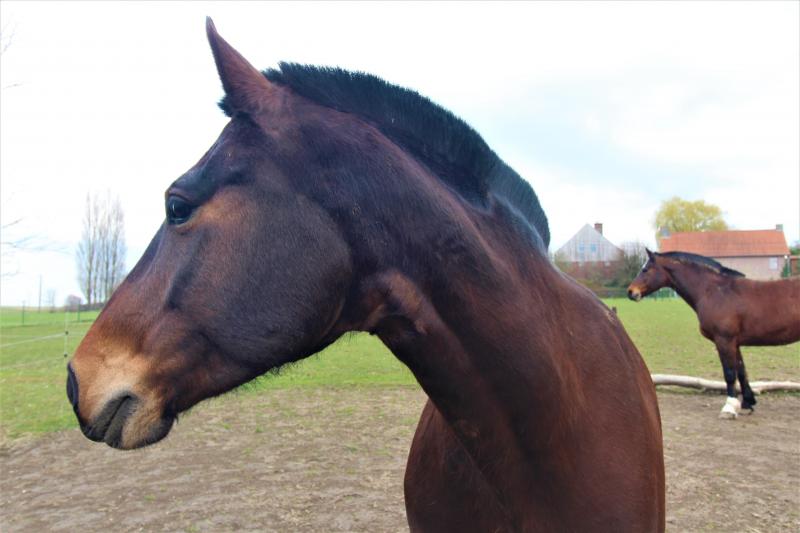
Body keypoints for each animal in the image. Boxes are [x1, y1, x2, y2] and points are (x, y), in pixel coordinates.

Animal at [628, 249, 800, 420]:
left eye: (645, 269)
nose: (631, 292)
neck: (714, 291)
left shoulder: (724, 340)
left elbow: (729, 373)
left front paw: (729, 408)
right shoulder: (735, 343)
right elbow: (741, 371)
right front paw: (747, 403)